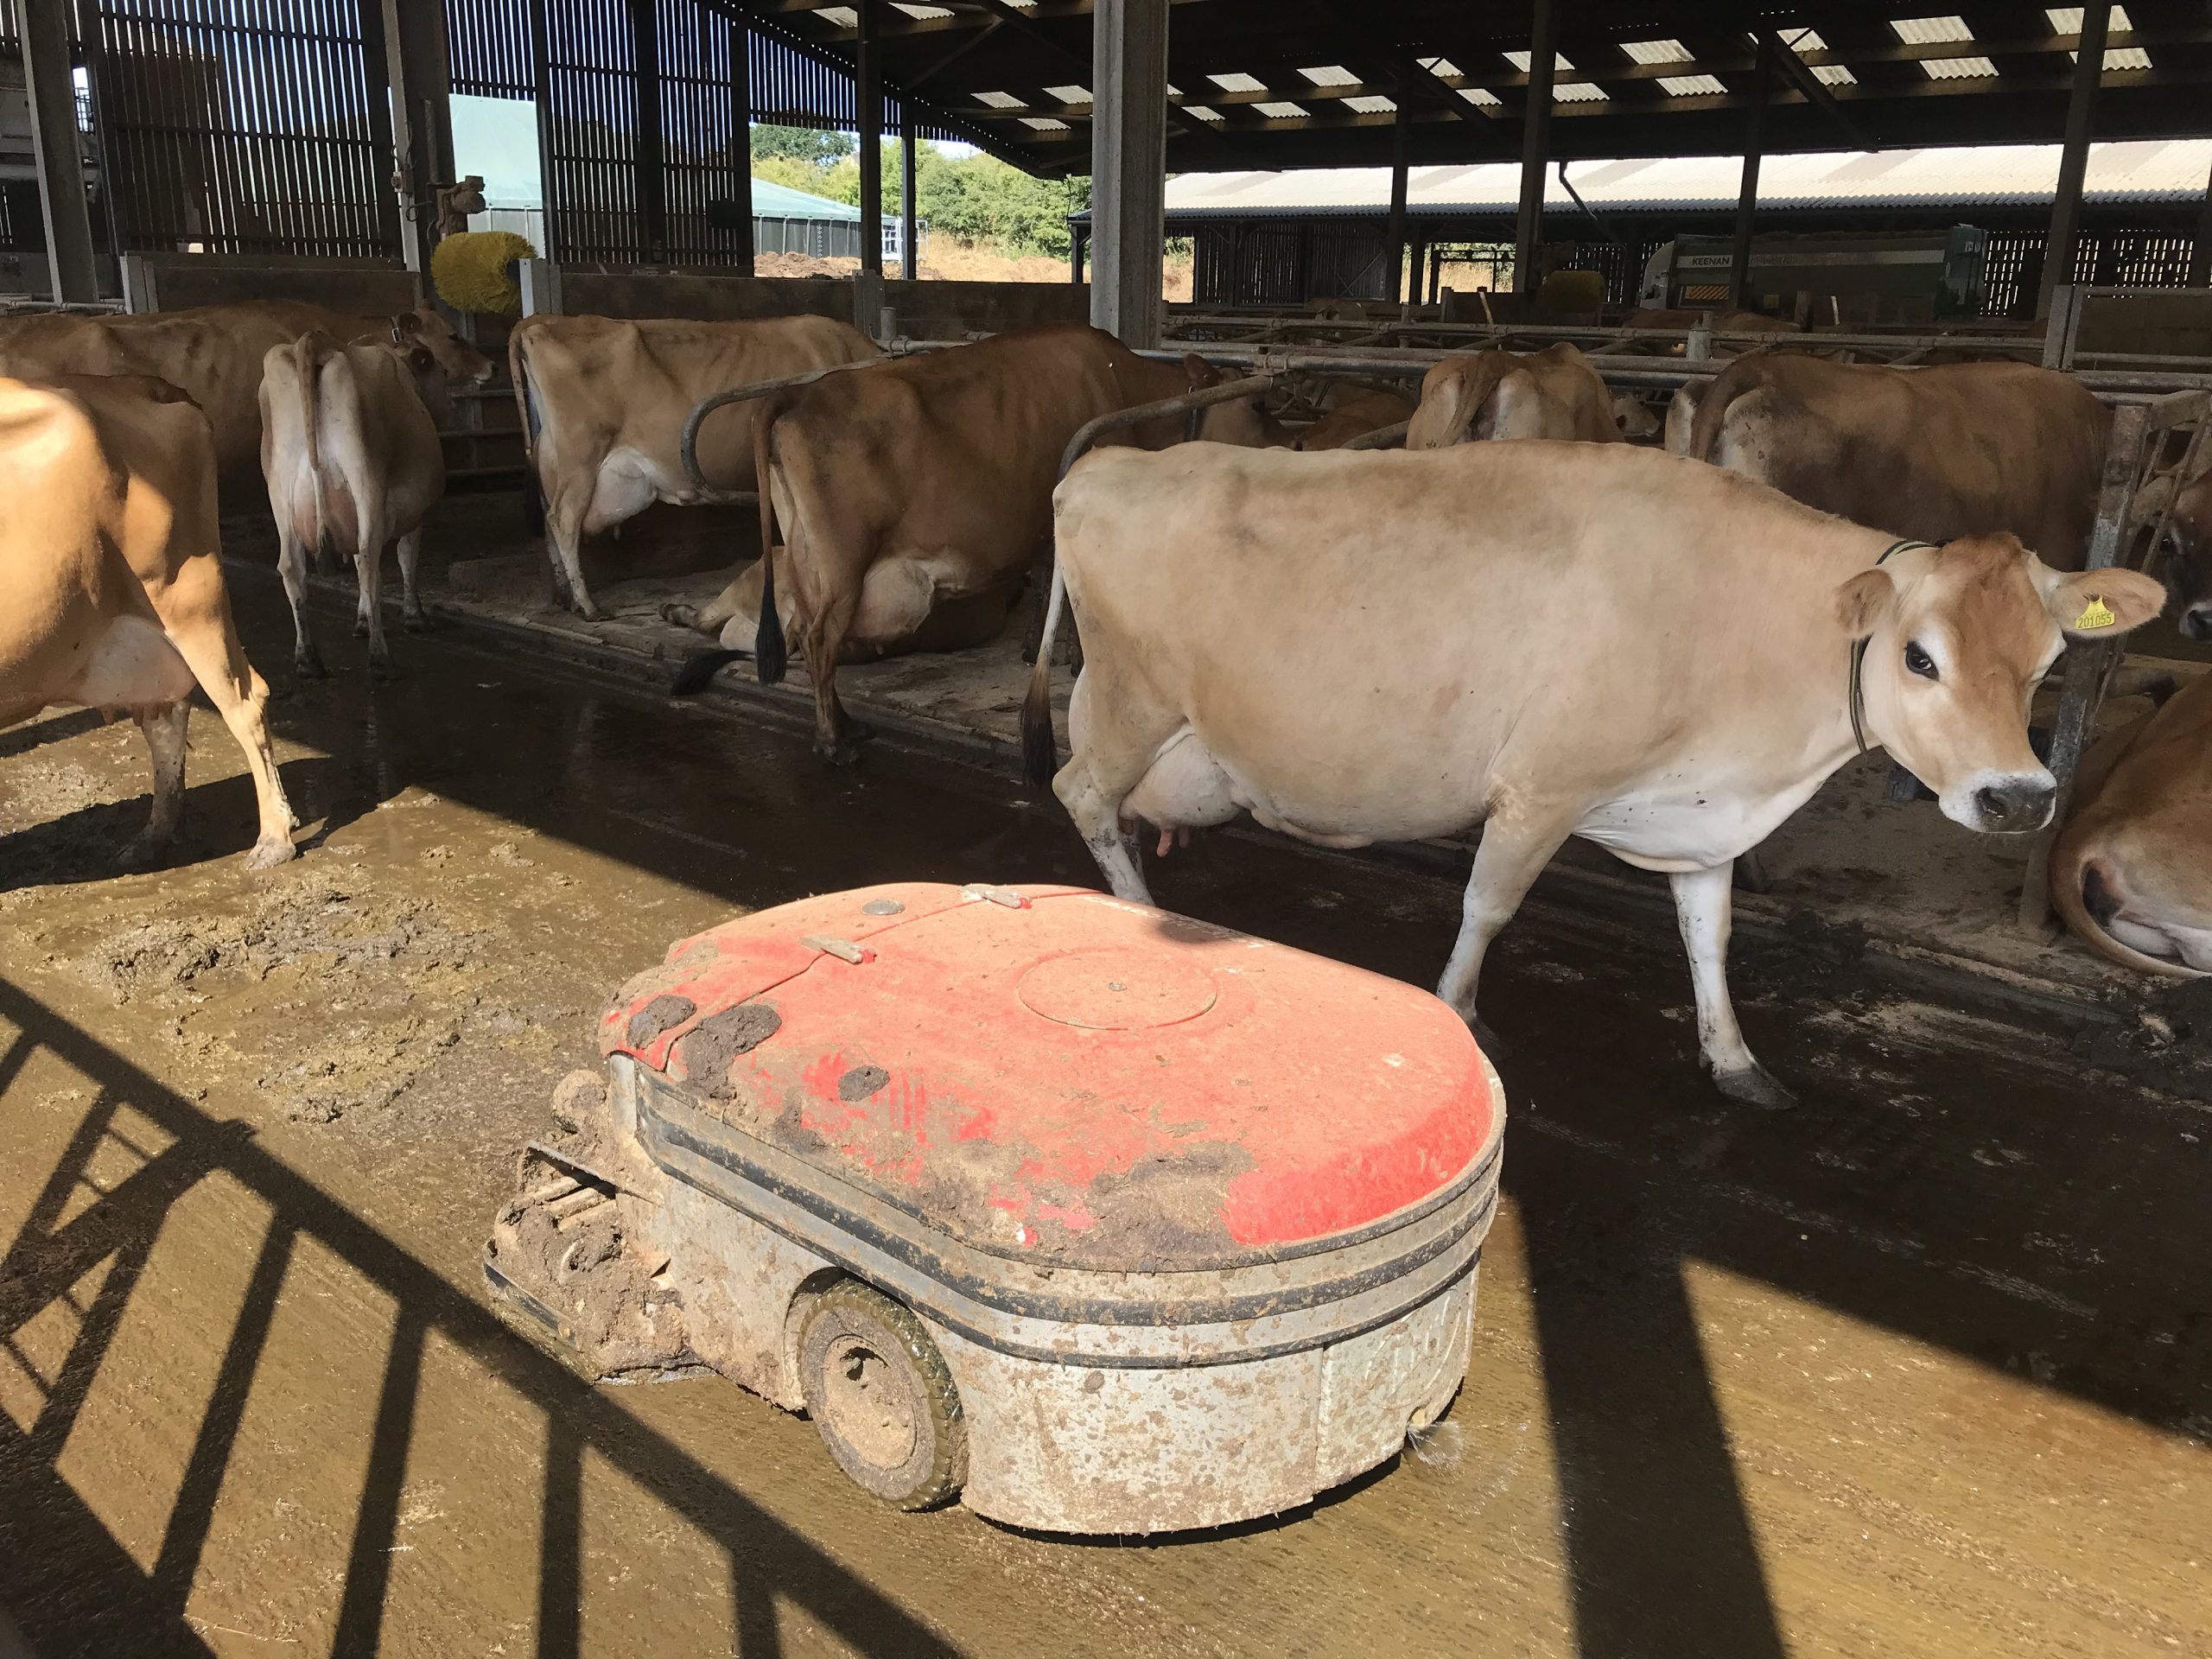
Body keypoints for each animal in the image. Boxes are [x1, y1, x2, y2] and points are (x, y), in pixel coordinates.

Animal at [0, 373, 296, 870]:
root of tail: (142, 383)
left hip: (191, 600)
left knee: (245, 702)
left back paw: (274, 838)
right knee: (166, 718)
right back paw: (154, 837)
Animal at [259, 329, 454, 679]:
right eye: (441, 372)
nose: (454, 406)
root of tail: (314, 341)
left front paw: (362, 620)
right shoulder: (416, 515)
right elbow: (407, 558)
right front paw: (413, 615)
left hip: (280, 491)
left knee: (292, 567)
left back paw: (308, 660)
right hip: (365, 478)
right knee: (368, 562)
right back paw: (380, 660)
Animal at [506, 312, 881, 621]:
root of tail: (545, 320)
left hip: (552, 456)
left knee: (548, 516)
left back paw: (567, 599)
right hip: (581, 456)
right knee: (564, 520)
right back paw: (587, 606)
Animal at [672, 324, 1286, 761]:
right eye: (1258, 406)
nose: (1296, 442)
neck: (1132, 393)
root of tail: (796, 395)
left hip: (803, 551)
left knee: (802, 628)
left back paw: (846, 725)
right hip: (841, 554)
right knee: (820, 635)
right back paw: (834, 742)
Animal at [1021, 440, 2163, 1106]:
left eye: (2047, 663)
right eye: (1920, 658)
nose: (2017, 797)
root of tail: (1110, 457)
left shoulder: (1703, 816)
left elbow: (1709, 937)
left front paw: (1732, 1058)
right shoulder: (1541, 787)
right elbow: (1486, 907)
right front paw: (1460, 1014)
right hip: (1133, 698)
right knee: (1080, 793)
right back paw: (1134, 908)